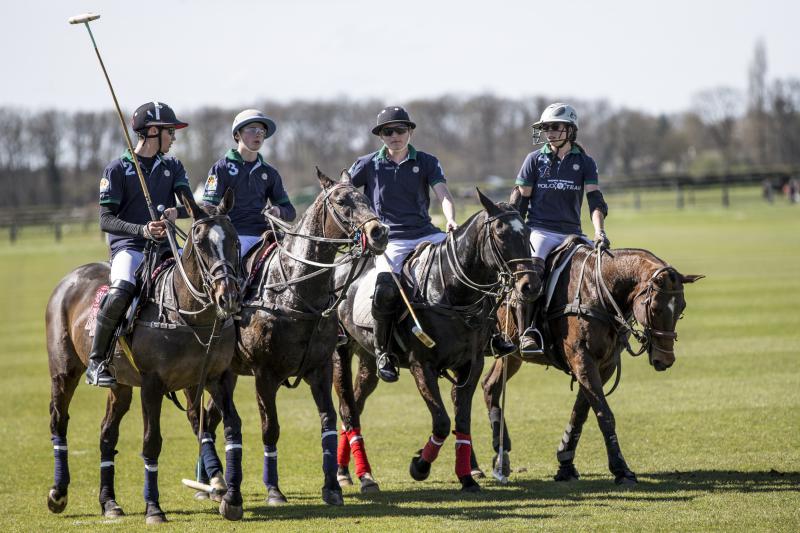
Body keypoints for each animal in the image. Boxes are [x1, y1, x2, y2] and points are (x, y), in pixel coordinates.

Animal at [45, 189, 245, 520]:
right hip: (64, 371)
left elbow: (231, 428)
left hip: (120, 384)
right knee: (59, 419)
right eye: (201, 243)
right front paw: (153, 508)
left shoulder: (216, 378)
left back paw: (109, 502)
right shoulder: (152, 384)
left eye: (235, 240)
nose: (227, 297)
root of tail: (68, 279)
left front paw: (231, 497)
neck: (188, 313)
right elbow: (152, 442)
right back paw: (58, 493)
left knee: (107, 433)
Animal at [187, 170, 388, 508]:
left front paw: (332, 487)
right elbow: (271, 429)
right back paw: (209, 484)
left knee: (210, 418)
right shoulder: (264, 375)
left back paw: (212, 482)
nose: (379, 233)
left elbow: (328, 421)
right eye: (340, 201)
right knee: (201, 417)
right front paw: (274, 490)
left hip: (227, 374)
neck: (294, 291)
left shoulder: (320, 368)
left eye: (365, 197)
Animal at [332, 189, 536, 492]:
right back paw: (357, 475)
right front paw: (419, 466)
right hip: (340, 351)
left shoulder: (471, 364)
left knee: (357, 403)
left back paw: (350, 470)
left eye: (528, 232)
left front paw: (466, 476)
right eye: (500, 233)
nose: (530, 285)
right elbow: (441, 421)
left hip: (367, 356)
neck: (452, 290)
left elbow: (461, 420)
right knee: (347, 408)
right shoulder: (422, 365)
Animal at [476, 243, 700, 484]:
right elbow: (604, 414)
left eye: (682, 308)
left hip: (511, 354)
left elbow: (581, 411)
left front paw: (565, 462)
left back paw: (499, 457)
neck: (600, 291)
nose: (665, 359)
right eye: (656, 308)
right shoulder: (581, 359)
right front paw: (622, 469)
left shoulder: (605, 364)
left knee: (489, 386)